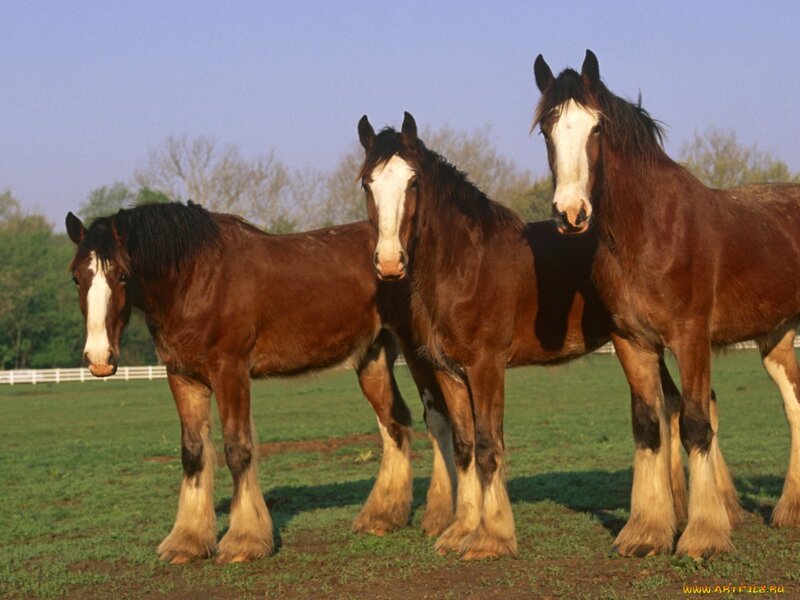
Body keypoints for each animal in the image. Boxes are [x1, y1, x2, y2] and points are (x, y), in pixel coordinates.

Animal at [65, 202, 458, 564]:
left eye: (123, 275)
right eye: (76, 277)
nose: (99, 359)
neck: (196, 279)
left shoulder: (230, 371)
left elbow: (238, 449)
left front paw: (245, 541)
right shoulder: (183, 376)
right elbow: (193, 452)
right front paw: (187, 541)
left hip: (417, 351)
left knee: (437, 420)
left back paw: (440, 516)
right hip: (372, 357)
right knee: (395, 423)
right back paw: (382, 517)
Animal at [355, 112, 683, 559]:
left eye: (414, 182)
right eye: (367, 183)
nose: (390, 263)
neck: (464, 265)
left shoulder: (486, 367)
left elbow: (488, 445)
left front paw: (491, 538)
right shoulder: (448, 372)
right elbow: (464, 448)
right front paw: (460, 531)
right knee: (670, 406)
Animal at [534, 50, 800, 558]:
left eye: (596, 128)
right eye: (546, 129)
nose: (571, 213)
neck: (650, 232)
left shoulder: (691, 336)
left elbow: (696, 422)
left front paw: (704, 535)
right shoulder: (631, 341)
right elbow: (648, 425)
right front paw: (646, 531)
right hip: (776, 337)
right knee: (795, 404)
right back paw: (789, 511)